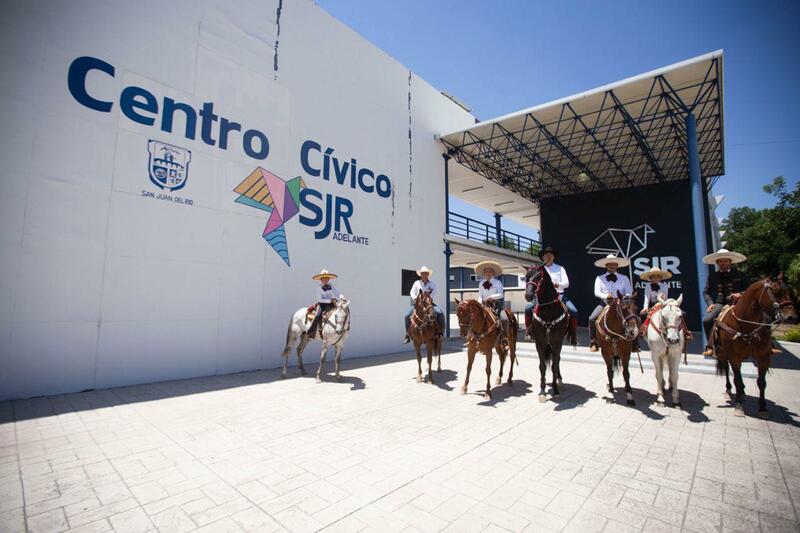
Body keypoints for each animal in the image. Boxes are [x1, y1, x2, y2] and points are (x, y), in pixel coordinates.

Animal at [524, 264, 576, 402]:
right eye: (526, 277)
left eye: (538, 277)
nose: (528, 295)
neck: (548, 311)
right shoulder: (540, 343)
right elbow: (542, 366)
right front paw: (542, 392)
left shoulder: (557, 342)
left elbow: (553, 365)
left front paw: (556, 391)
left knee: (557, 361)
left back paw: (559, 379)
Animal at [716, 274, 796, 416]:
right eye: (776, 292)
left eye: (790, 292)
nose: (791, 317)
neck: (746, 325)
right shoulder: (733, 355)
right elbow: (737, 379)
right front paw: (739, 407)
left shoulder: (764, 356)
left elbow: (761, 382)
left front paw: (763, 408)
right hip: (724, 353)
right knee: (727, 369)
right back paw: (730, 391)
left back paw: (742, 394)